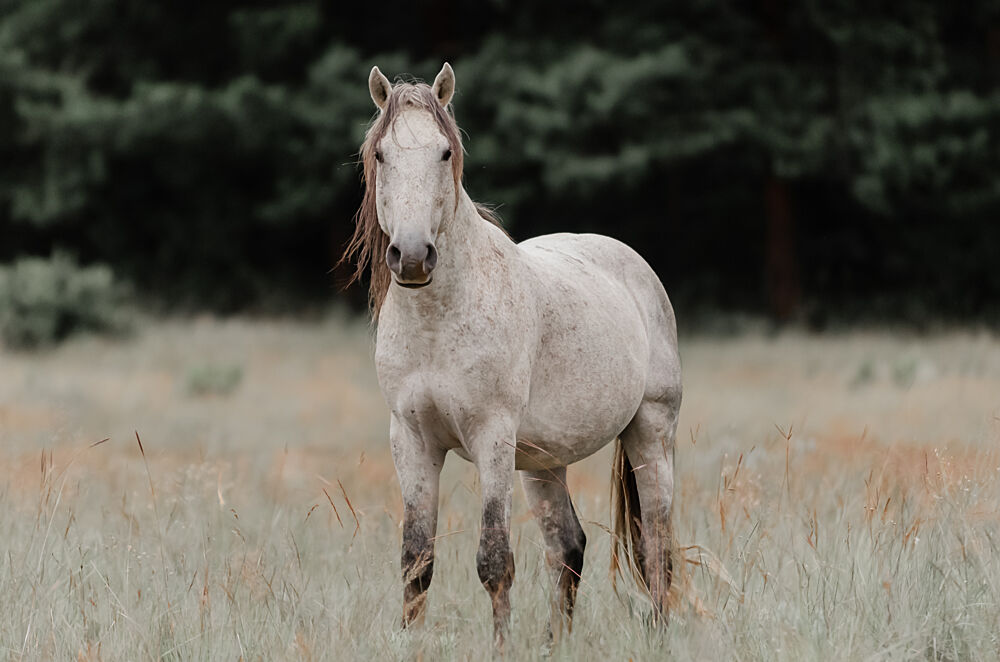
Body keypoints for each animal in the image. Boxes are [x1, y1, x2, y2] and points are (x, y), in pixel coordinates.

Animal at [341, 63, 682, 649]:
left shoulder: (492, 438)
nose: (412, 256)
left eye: (445, 153)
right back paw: (555, 643)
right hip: (544, 463)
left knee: (655, 546)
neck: (439, 321)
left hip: (650, 433)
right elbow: (416, 560)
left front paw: (500, 645)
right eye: (381, 154)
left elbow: (494, 559)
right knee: (567, 547)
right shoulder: (411, 441)